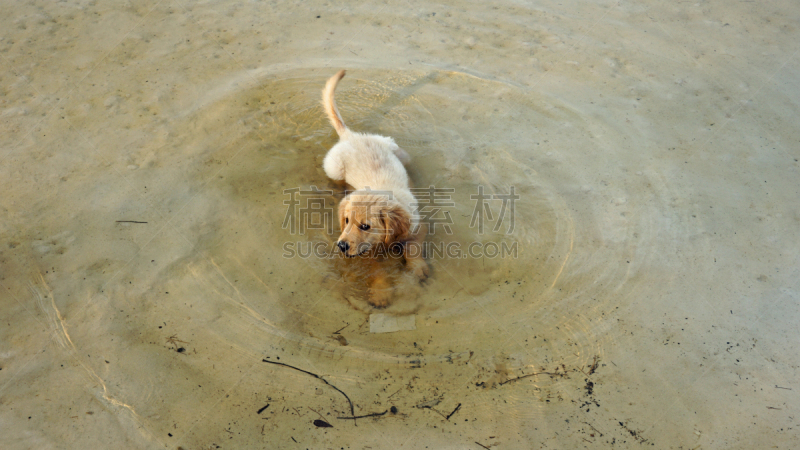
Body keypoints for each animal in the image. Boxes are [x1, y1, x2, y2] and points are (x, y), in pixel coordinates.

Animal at [320, 70, 428, 308]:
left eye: (365, 226)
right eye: (346, 221)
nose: (341, 246)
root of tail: (351, 136)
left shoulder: (418, 226)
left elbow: (414, 249)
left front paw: (418, 268)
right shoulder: (368, 252)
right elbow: (377, 270)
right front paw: (380, 292)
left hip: (399, 151)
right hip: (334, 168)